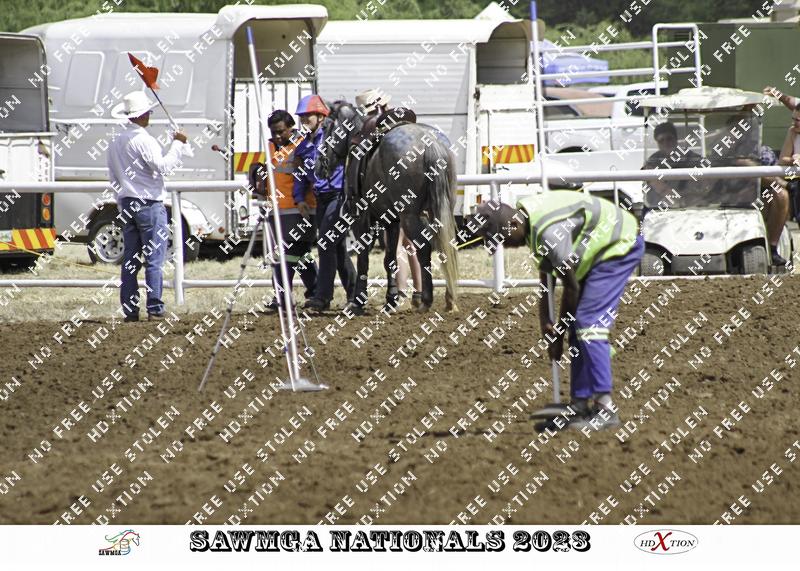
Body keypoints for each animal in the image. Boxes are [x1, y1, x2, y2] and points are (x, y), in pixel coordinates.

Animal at [317, 100, 459, 313]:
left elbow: (363, 258)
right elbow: (390, 259)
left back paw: (426, 301)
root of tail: (430, 142)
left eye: (325, 127)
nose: (318, 165)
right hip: (440, 211)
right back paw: (450, 300)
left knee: (424, 248)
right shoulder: (391, 220)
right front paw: (390, 300)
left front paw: (357, 302)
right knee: (446, 246)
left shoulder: (362, 219)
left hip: (410, 216)